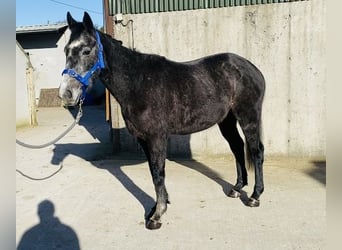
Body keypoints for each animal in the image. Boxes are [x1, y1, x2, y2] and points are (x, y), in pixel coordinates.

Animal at [58, 11, 266, 230]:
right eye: (66, 50)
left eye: (86, 51)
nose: (66, 94)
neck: (138, 83)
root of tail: (251, 68)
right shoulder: (143, 138)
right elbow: (153, 171)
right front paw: (157, 207)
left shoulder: (157, 137)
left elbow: (159, 173)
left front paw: (157, 215)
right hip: (226, 121)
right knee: (237, 147)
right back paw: (237, 188)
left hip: (248, 117)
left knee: (256, 151)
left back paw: (254, 196)